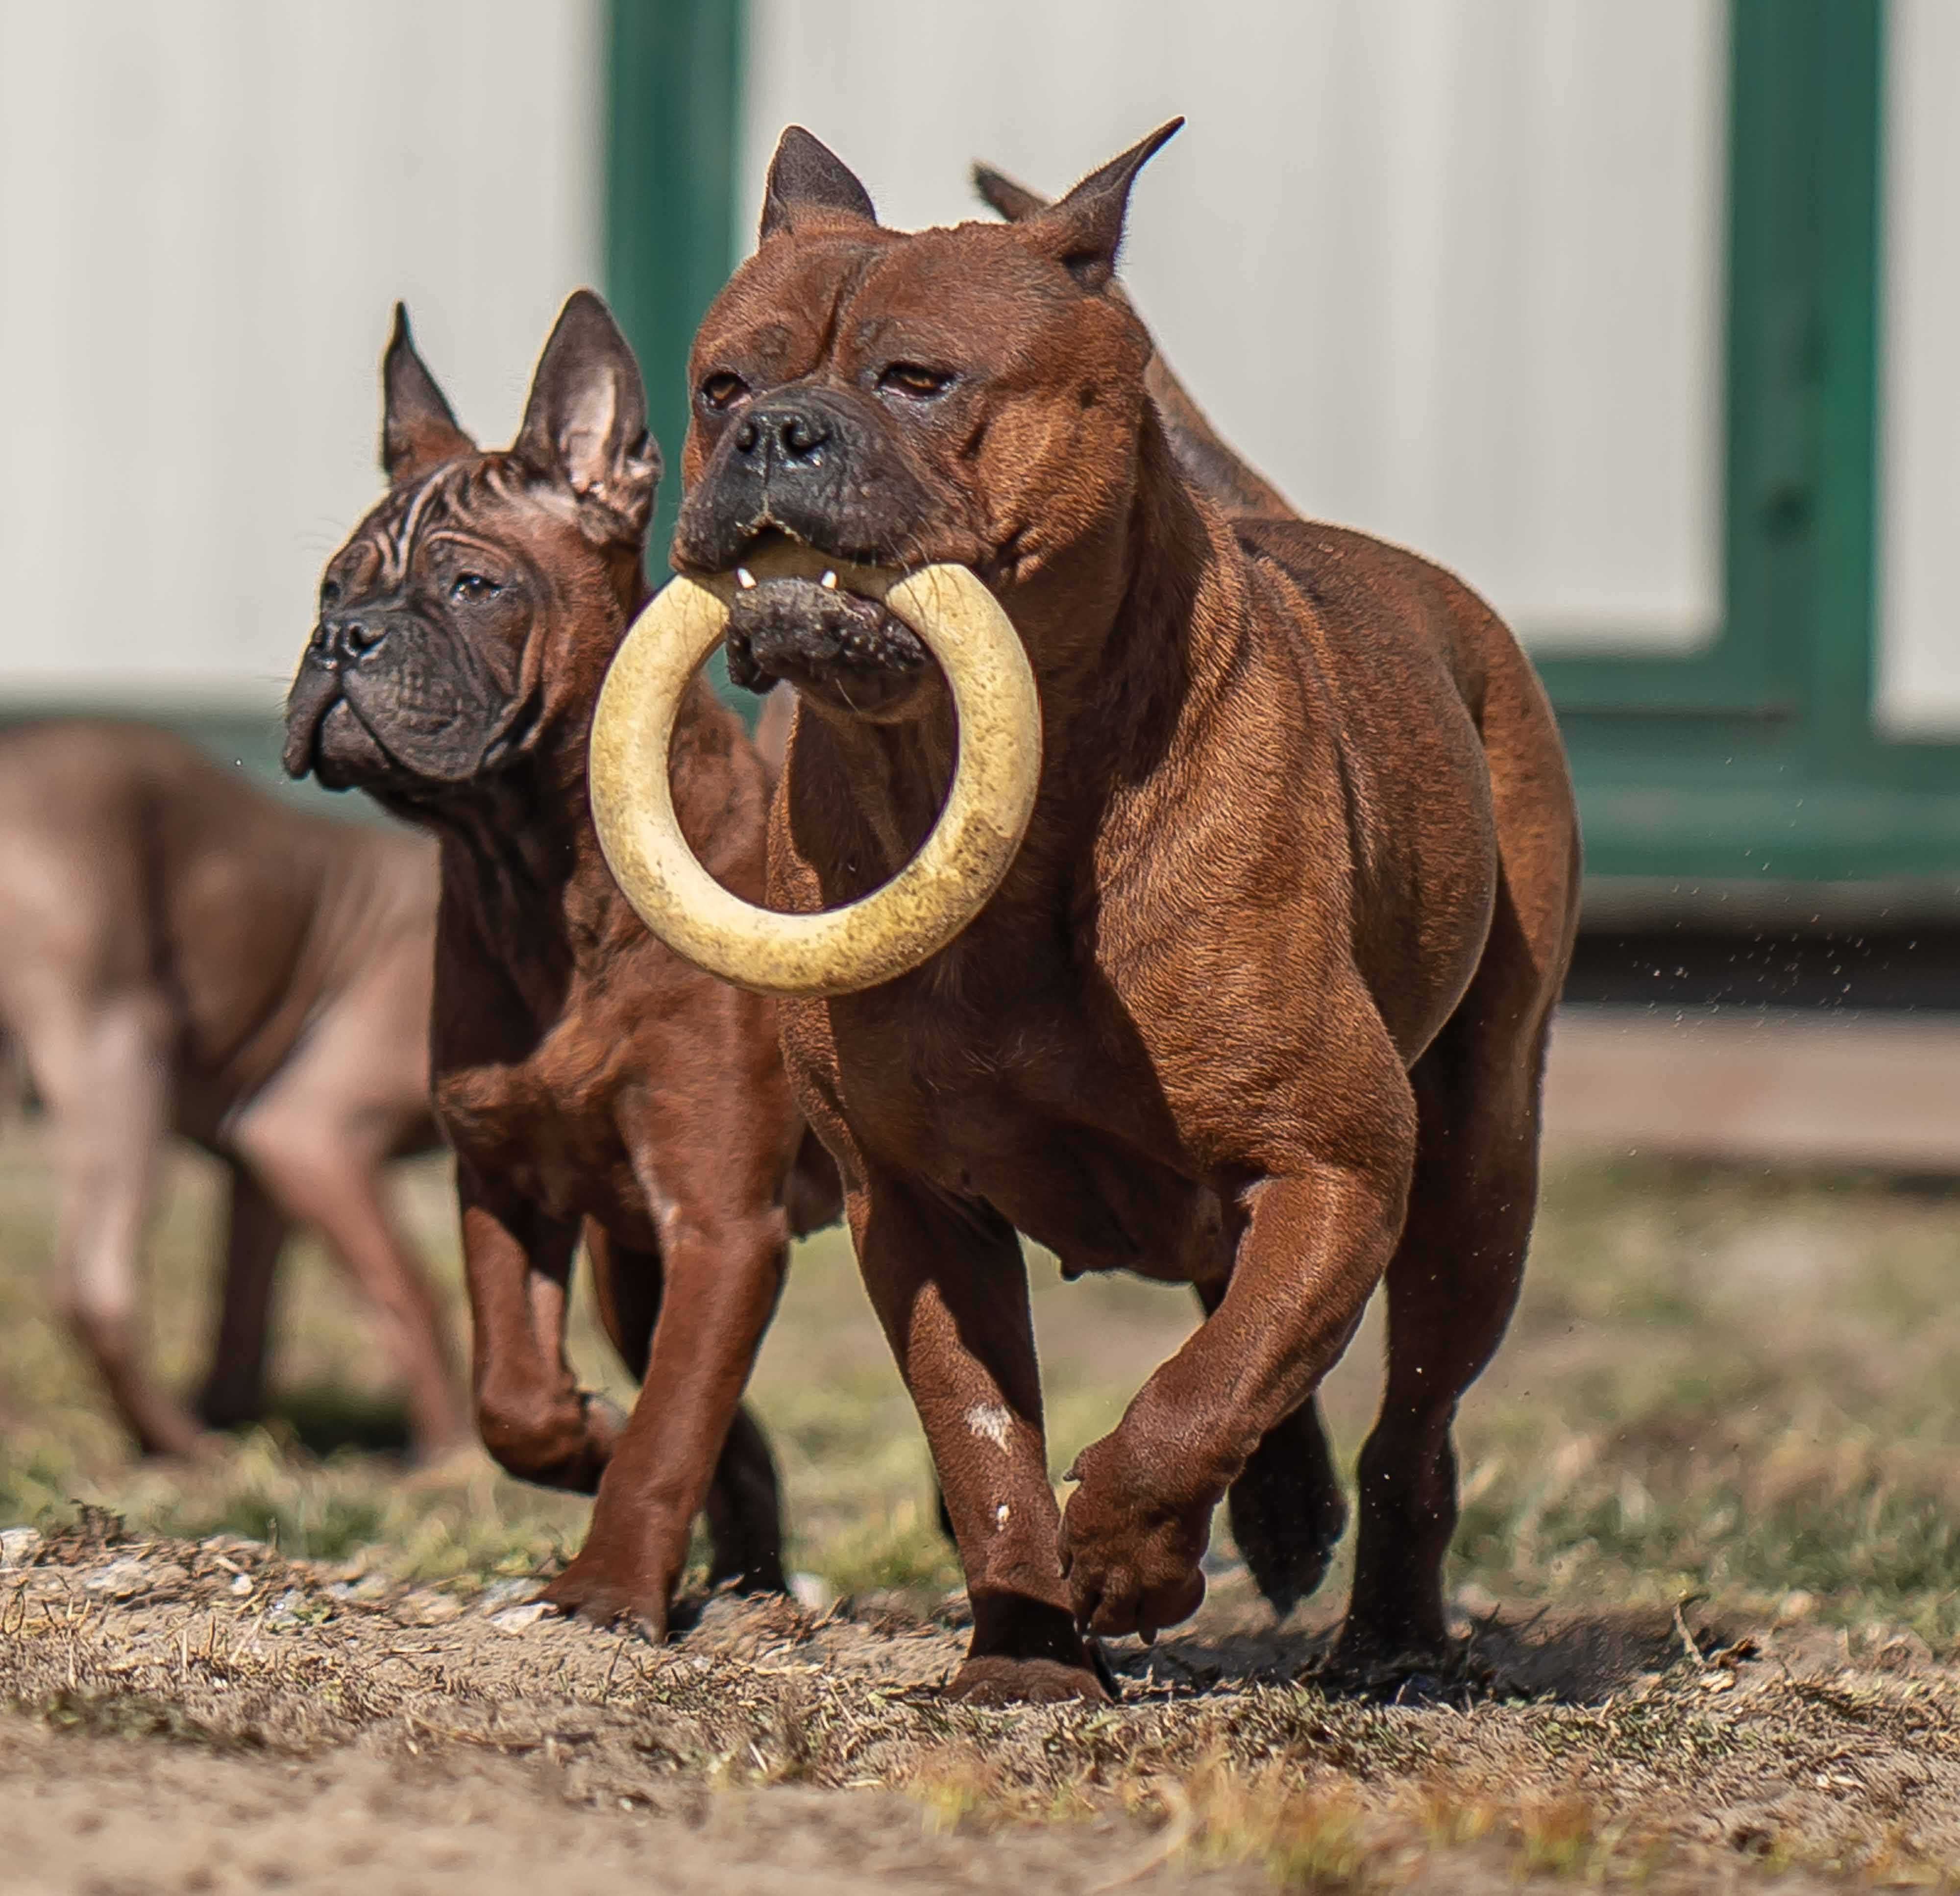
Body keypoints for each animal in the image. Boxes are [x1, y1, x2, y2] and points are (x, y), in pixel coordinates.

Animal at [0, 717, 463, 1458]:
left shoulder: (262, 1166)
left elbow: (244, 1310)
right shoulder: (308, 1132)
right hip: (123, 1047)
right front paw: (456, 1450)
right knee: (94, 1284)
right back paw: (181, 1445)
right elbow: (410, 1289)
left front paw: (237, 1415)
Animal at [286, 296, 839, 1631]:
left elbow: (667, 1427)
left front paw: (606, 1587)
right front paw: (581, 1432)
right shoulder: (506, 1178)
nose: (340, 640)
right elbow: (517, 1396)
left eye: (473, 584)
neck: (543, 884)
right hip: (628, 1263)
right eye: (329, 587)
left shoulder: (721, 1221)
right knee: (719, 1425)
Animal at [651, 129, 1584, 1701]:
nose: (771, 431)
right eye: (722, 383)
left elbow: (1205, 1388)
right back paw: (1281, 1514)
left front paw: (1129, 1555)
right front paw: (1028, 1644)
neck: (1016, 819)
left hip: (1476, 1180)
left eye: (918, 378)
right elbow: (982, 1430)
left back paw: (1390, 1635)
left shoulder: (1340, 1158)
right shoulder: (914, 1208)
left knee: (1409, 1420)